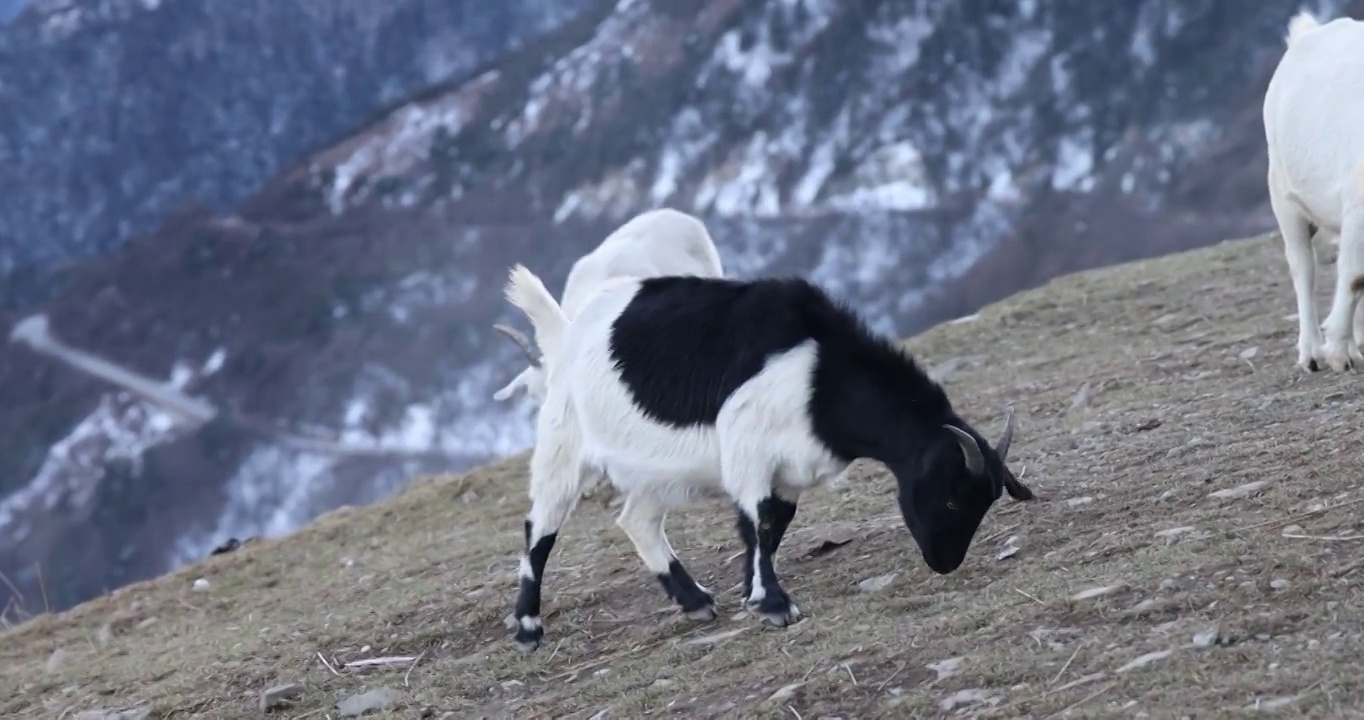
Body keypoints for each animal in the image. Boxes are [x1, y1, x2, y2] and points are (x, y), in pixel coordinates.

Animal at [501, 265, 1031, 651]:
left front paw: (752, 593)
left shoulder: (788, 470)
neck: (818, 376)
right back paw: (528, 628)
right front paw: (775, 604)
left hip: (656, 472)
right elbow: (758, 520)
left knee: (637, 520)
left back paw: (694, 600)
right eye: (952, 501)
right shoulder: (748, 448)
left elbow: (773, 526)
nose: (945, 563)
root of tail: (564, 333)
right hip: (565, 446)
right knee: (540, 528)